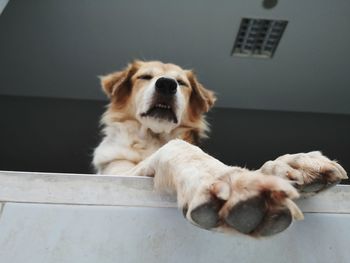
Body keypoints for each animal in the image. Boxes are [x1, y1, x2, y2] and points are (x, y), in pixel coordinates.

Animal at [93, 61, 348, 237]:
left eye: (182, 83)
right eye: (144, 77)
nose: (166, 84)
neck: (154, 137)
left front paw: (295, 163)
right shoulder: (118, 172)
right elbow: (182, 147)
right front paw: (229, 182)